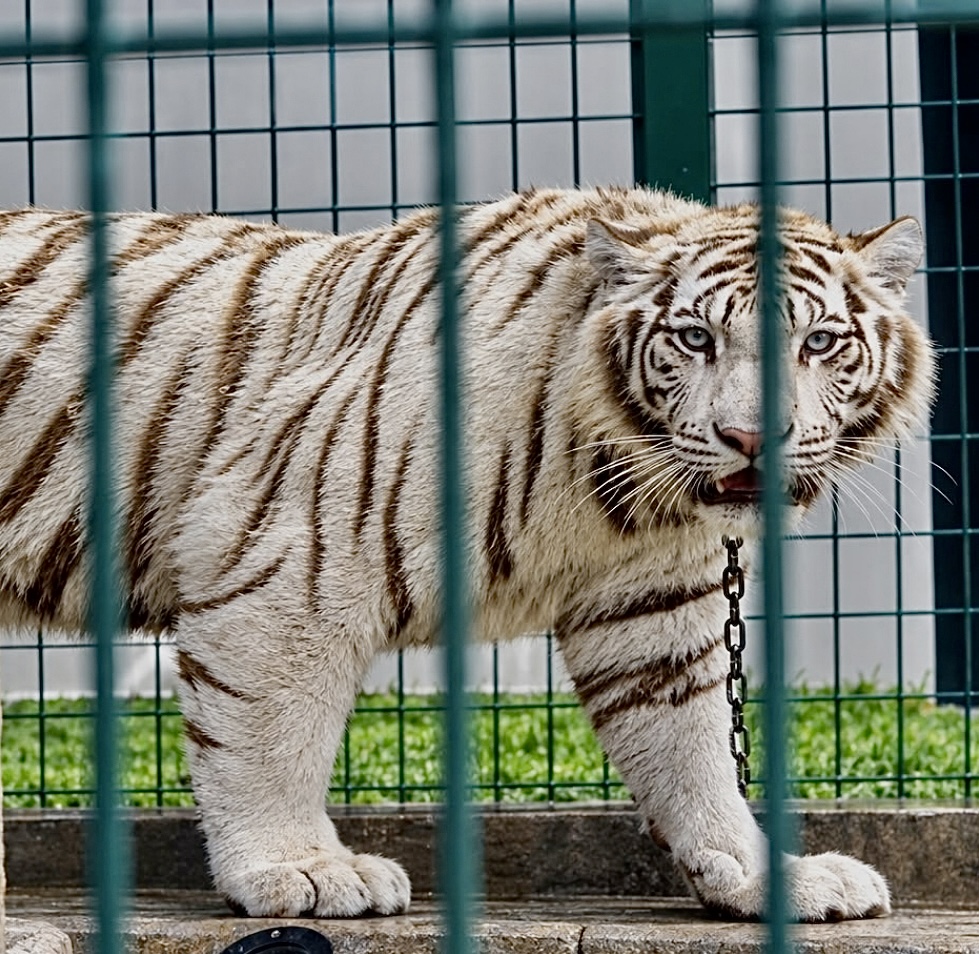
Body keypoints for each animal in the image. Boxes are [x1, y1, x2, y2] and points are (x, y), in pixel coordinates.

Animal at [0, 187, 934, 922]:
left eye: (819, 343)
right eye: (696, 339)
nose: (748, 436)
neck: (613, 489)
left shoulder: (648, 605)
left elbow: (691, 750)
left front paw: (763, 878)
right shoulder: (289, 554)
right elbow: (269, 738)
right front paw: (300, 869)